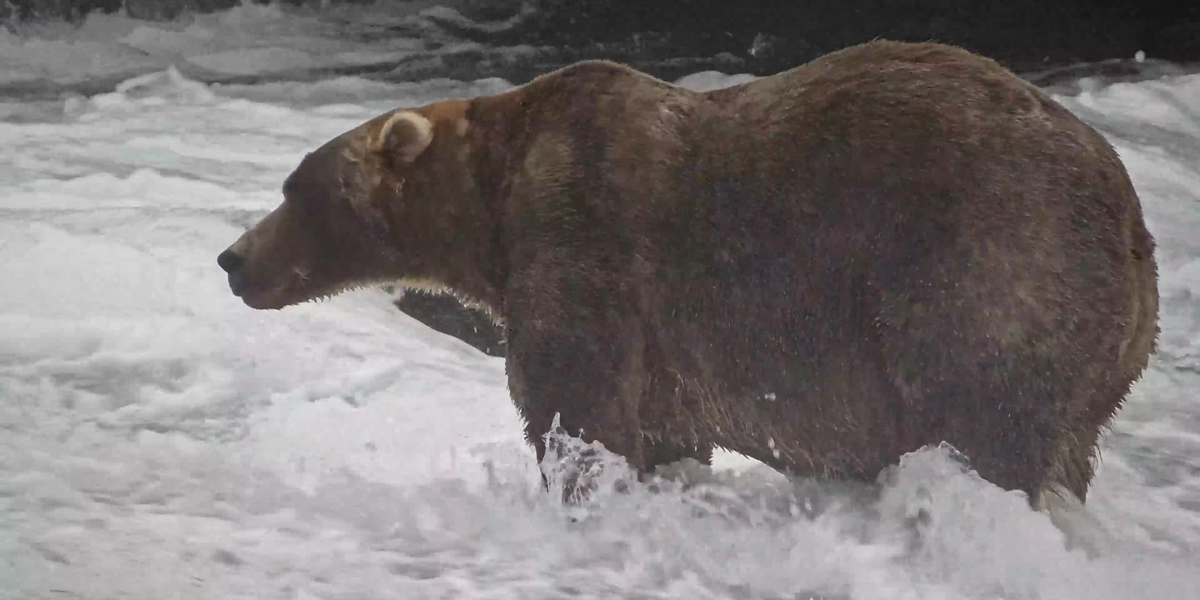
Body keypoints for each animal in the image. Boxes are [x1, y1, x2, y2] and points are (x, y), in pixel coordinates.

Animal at [217, 40, 1158, 506]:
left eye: (296, 189)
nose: (232, 259)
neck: (491, 205)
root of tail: (1130, 216)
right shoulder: (666, 347)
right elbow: (664, 429)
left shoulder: (584, 237)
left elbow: (574, 402)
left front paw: (580, 490)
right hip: (1104, 352)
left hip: (986, 265)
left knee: (985, 416)